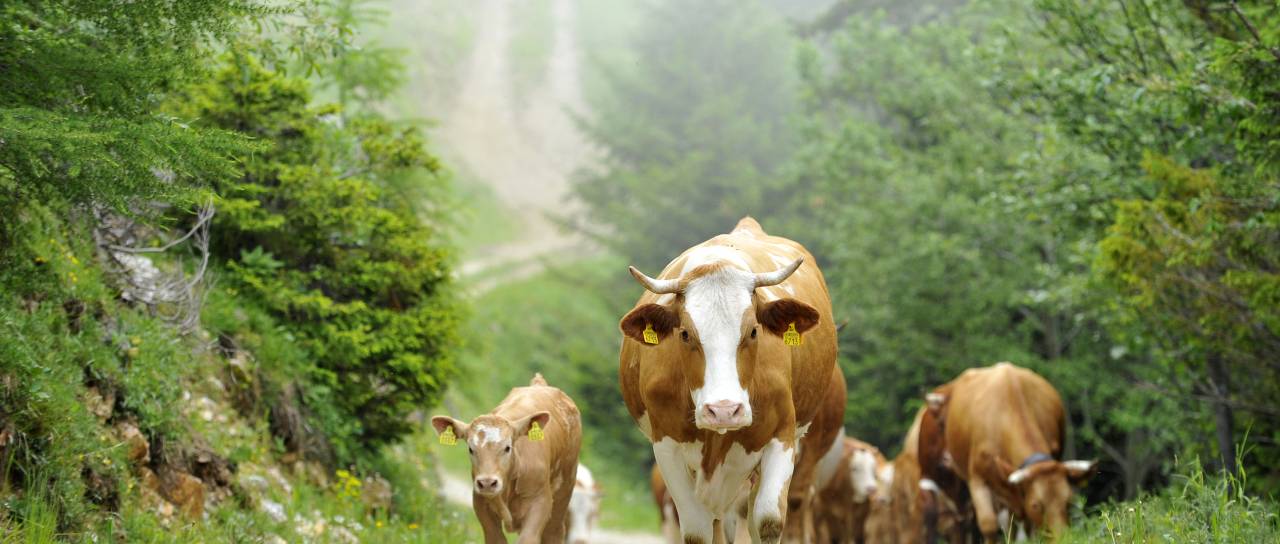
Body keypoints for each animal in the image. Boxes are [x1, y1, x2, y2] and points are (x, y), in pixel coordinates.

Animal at [431, 374, 582, 544]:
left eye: (507, 448)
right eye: (471, 449)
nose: (487, 483)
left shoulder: (539, 502)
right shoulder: (482, 504)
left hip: (563, 495)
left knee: (554, 532)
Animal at [618, 217, 838, 544]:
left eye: (754, 331)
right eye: (685, 333)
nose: (724, 410)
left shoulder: (783, 437)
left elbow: (767, 520)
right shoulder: (666, 447)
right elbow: (697, 529)